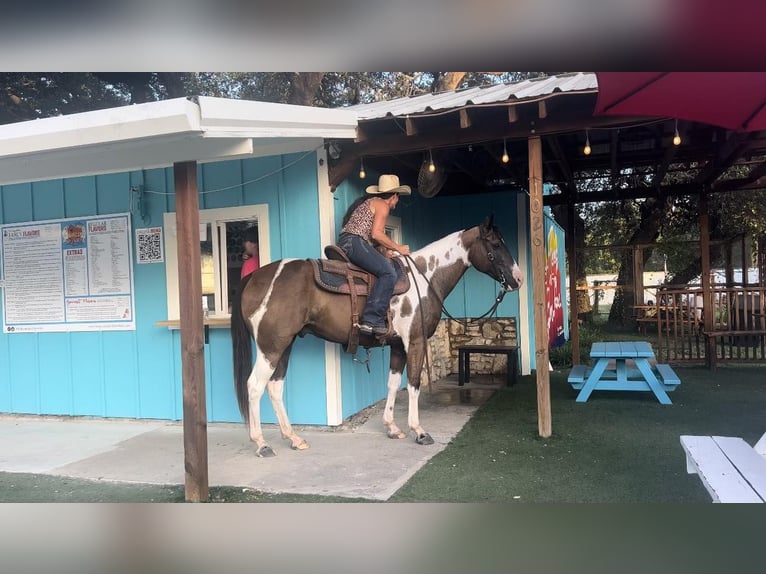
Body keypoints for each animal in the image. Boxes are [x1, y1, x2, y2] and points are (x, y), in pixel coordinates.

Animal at [231, 216, 524, 460]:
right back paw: (261, 444)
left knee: (274, 388)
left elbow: (393, 384)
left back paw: (293, 438)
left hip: (285, 345)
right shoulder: (415, 341)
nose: (518, 279)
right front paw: (419, 431)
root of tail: (254, 277)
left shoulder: (397, 346)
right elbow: (414, 384)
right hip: (271, 347)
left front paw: (392, 427)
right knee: (254, 386)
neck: (425, 277)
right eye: (496, 244)